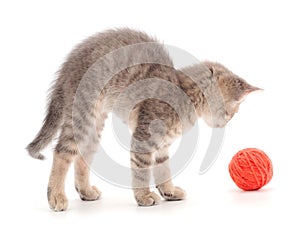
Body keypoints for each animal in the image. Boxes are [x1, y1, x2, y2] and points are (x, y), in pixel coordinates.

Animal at [26, 28, 260, 211]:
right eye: (232, 111)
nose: (227, 122)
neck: (186, 95)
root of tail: (69, 63)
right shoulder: (144, 137)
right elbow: (142, 169)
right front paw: (143, 196)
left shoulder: (163, 144)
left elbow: (163, 168)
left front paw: (169, 191)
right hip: (82, 114)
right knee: (62, 151)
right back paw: (56, 196)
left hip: (95, 123)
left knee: (83, 154)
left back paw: (85, 191)